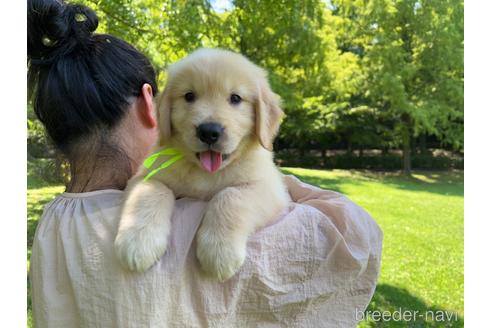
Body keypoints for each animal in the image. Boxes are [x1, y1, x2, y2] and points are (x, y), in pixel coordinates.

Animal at [114, 47, 292, 280]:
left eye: (235, 98)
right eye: (189, 96)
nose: (209, 131)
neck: (205, 172)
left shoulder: (269, 188)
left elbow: (230, 195)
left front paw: (220, 251)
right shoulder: (144, 175)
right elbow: (152, 192)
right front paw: (138, 242)